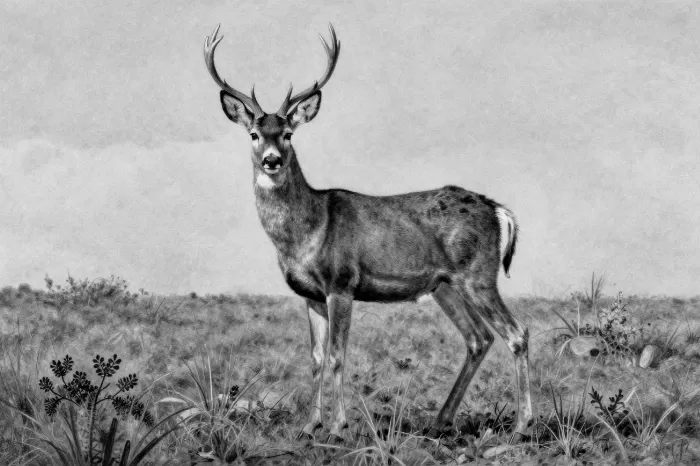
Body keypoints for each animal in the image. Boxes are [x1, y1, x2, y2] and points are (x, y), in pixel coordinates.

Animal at [203, 23, 532, 442]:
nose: (272, 160)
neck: (308, 232)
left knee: (516, 333)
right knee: (479, 337)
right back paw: (440, 420)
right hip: (444, 285)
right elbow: (315, 358)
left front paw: (338, 426)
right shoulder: (310, 294)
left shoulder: (341, 283)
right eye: (253, 135)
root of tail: (497, 209)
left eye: (289, 133)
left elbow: (338, 355)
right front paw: (309, 425)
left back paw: (522, 426)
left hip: (478, 274)